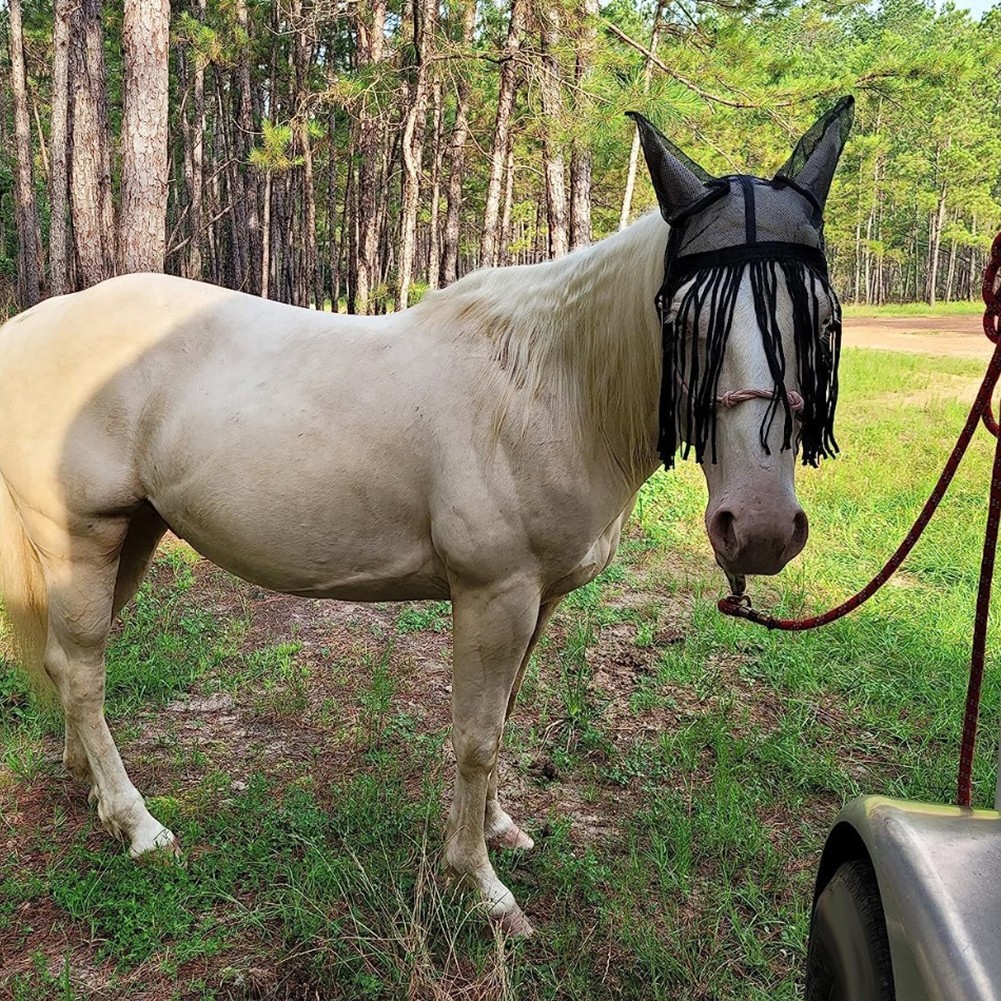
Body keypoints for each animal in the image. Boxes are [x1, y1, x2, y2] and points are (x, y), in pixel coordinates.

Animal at [0, 98, 852, 937]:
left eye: (821, 318)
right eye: (685, 321)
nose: (760, 527)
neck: (547, 387)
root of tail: (26, 328)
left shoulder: (537, 598)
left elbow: (502, 715)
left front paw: (500, 827)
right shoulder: (493, 595)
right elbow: (475, 736)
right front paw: (479, 883)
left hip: (134, 534)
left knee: (67, 663)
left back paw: (91, 789)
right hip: (84, 537)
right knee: (82, 670)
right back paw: (139, 824)